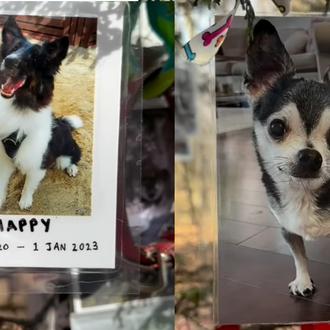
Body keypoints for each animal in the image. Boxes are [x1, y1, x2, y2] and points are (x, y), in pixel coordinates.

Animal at [0, 17, 82, 209]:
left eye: (35, 58)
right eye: (13, 49)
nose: (8, 61)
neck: (18, 106)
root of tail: (63, 123)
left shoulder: (38, 163)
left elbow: (29, 184)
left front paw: (25, 201)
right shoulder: (3, 159)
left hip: (64, 156)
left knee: (75, 155)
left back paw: (72, 167)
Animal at [246, 20, 330, 298]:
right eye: (276, 128)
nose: (311, 157)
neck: (303, 193)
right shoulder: (287, 228)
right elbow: (299, 254)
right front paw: (303, 281)